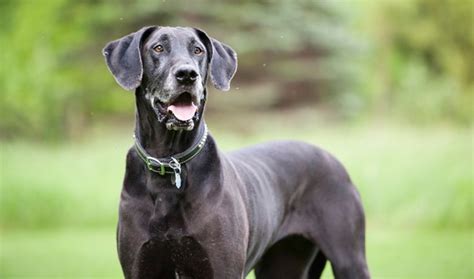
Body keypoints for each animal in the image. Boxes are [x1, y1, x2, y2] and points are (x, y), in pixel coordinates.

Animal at [103, 25, 370, 278]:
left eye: (198, 50)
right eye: (158, 48)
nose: (187, 74)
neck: (169, 161)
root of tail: (331, 158)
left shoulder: (223, 268)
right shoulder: (140, 266)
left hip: (349, 259)